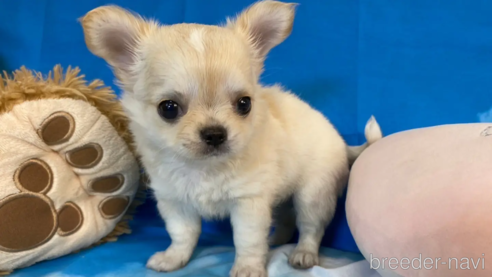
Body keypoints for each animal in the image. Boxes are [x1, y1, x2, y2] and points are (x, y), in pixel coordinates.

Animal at [80, 1, 380, 274]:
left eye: (244, 104)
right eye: (169, 108)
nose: (215, 133)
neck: (203, 168)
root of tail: (341, 140)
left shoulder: (249, 202)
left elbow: (247, 240)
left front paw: (248, 267)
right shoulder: (175, 201)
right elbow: (182, 234)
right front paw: (174, 259)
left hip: (313, 194)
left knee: (310, 227)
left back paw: (303, 253)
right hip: (283, 195)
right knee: (285, 218)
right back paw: (276, 240)